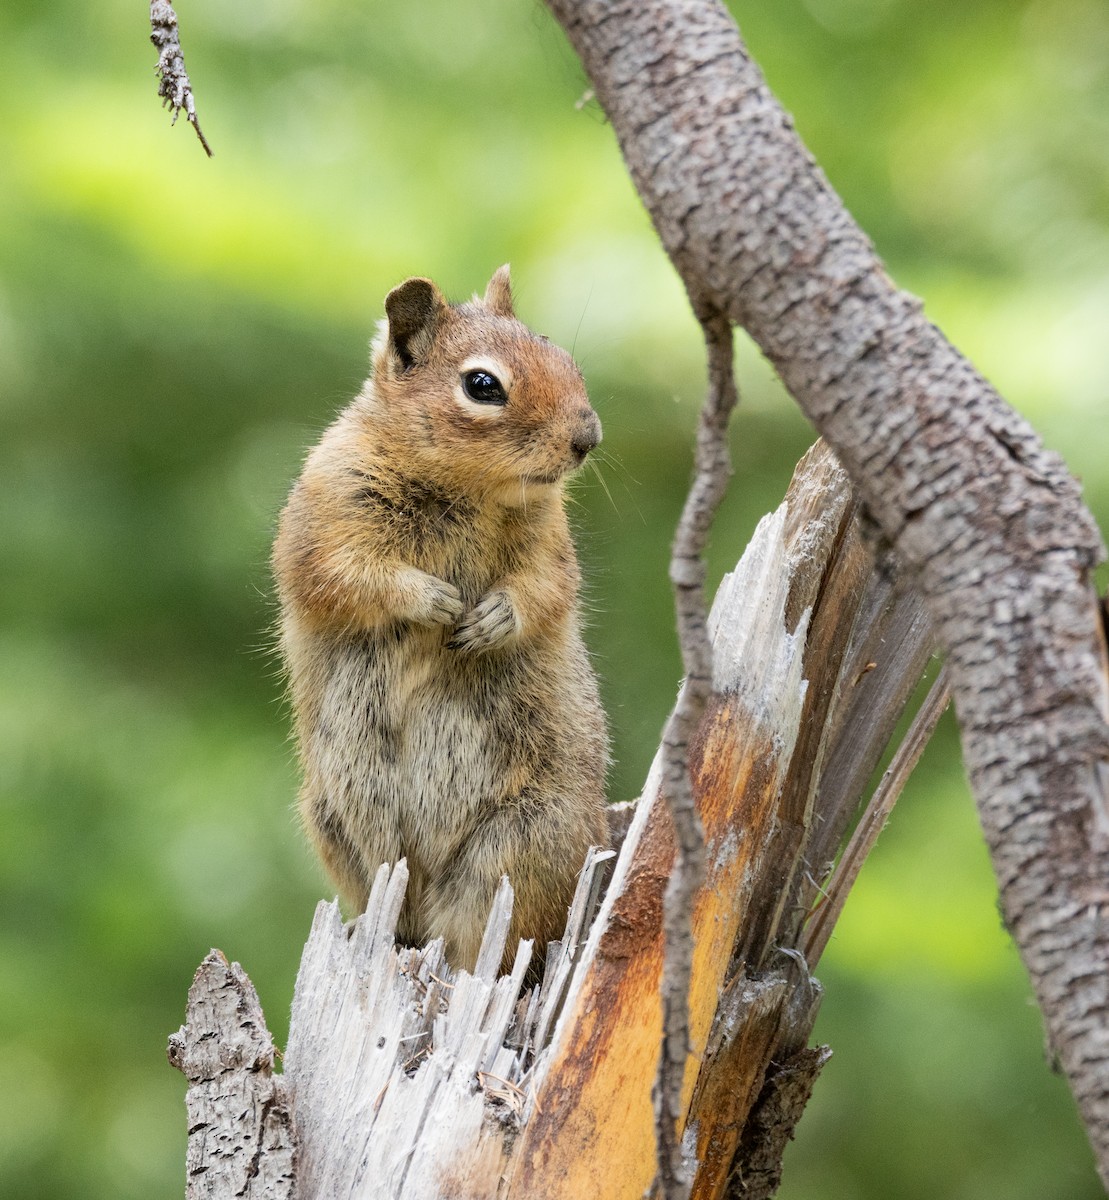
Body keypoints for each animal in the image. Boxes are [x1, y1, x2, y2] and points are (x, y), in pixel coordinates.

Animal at [273, 266, 610, 973]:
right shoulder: (324, 522)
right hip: (338, 823)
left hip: (524, 842)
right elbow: (346, 578)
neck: (468, 490)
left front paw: (491, 620)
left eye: (563, 357)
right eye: (483, 385)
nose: (587, 439)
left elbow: (545, 592)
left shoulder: (550, 547)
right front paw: (434, 600)